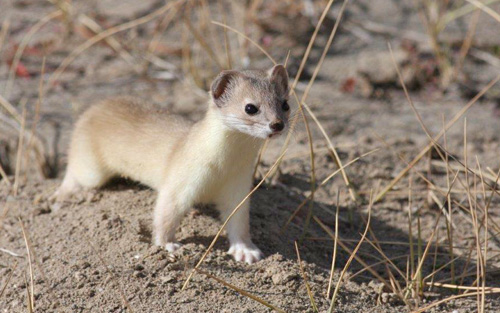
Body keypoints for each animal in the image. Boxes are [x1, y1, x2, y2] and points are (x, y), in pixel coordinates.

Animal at [51, 64, 290, 262]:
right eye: (250, 107)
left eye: (285, 103)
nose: (278, 124)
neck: (223, 168)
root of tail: (96, 105)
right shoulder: (179, 181)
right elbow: (166, 214)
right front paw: (167, 245)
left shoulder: (238, 186)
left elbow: (238, 221)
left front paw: (246, 251)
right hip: (91, 169)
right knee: (73, 171)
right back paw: (62, 195)